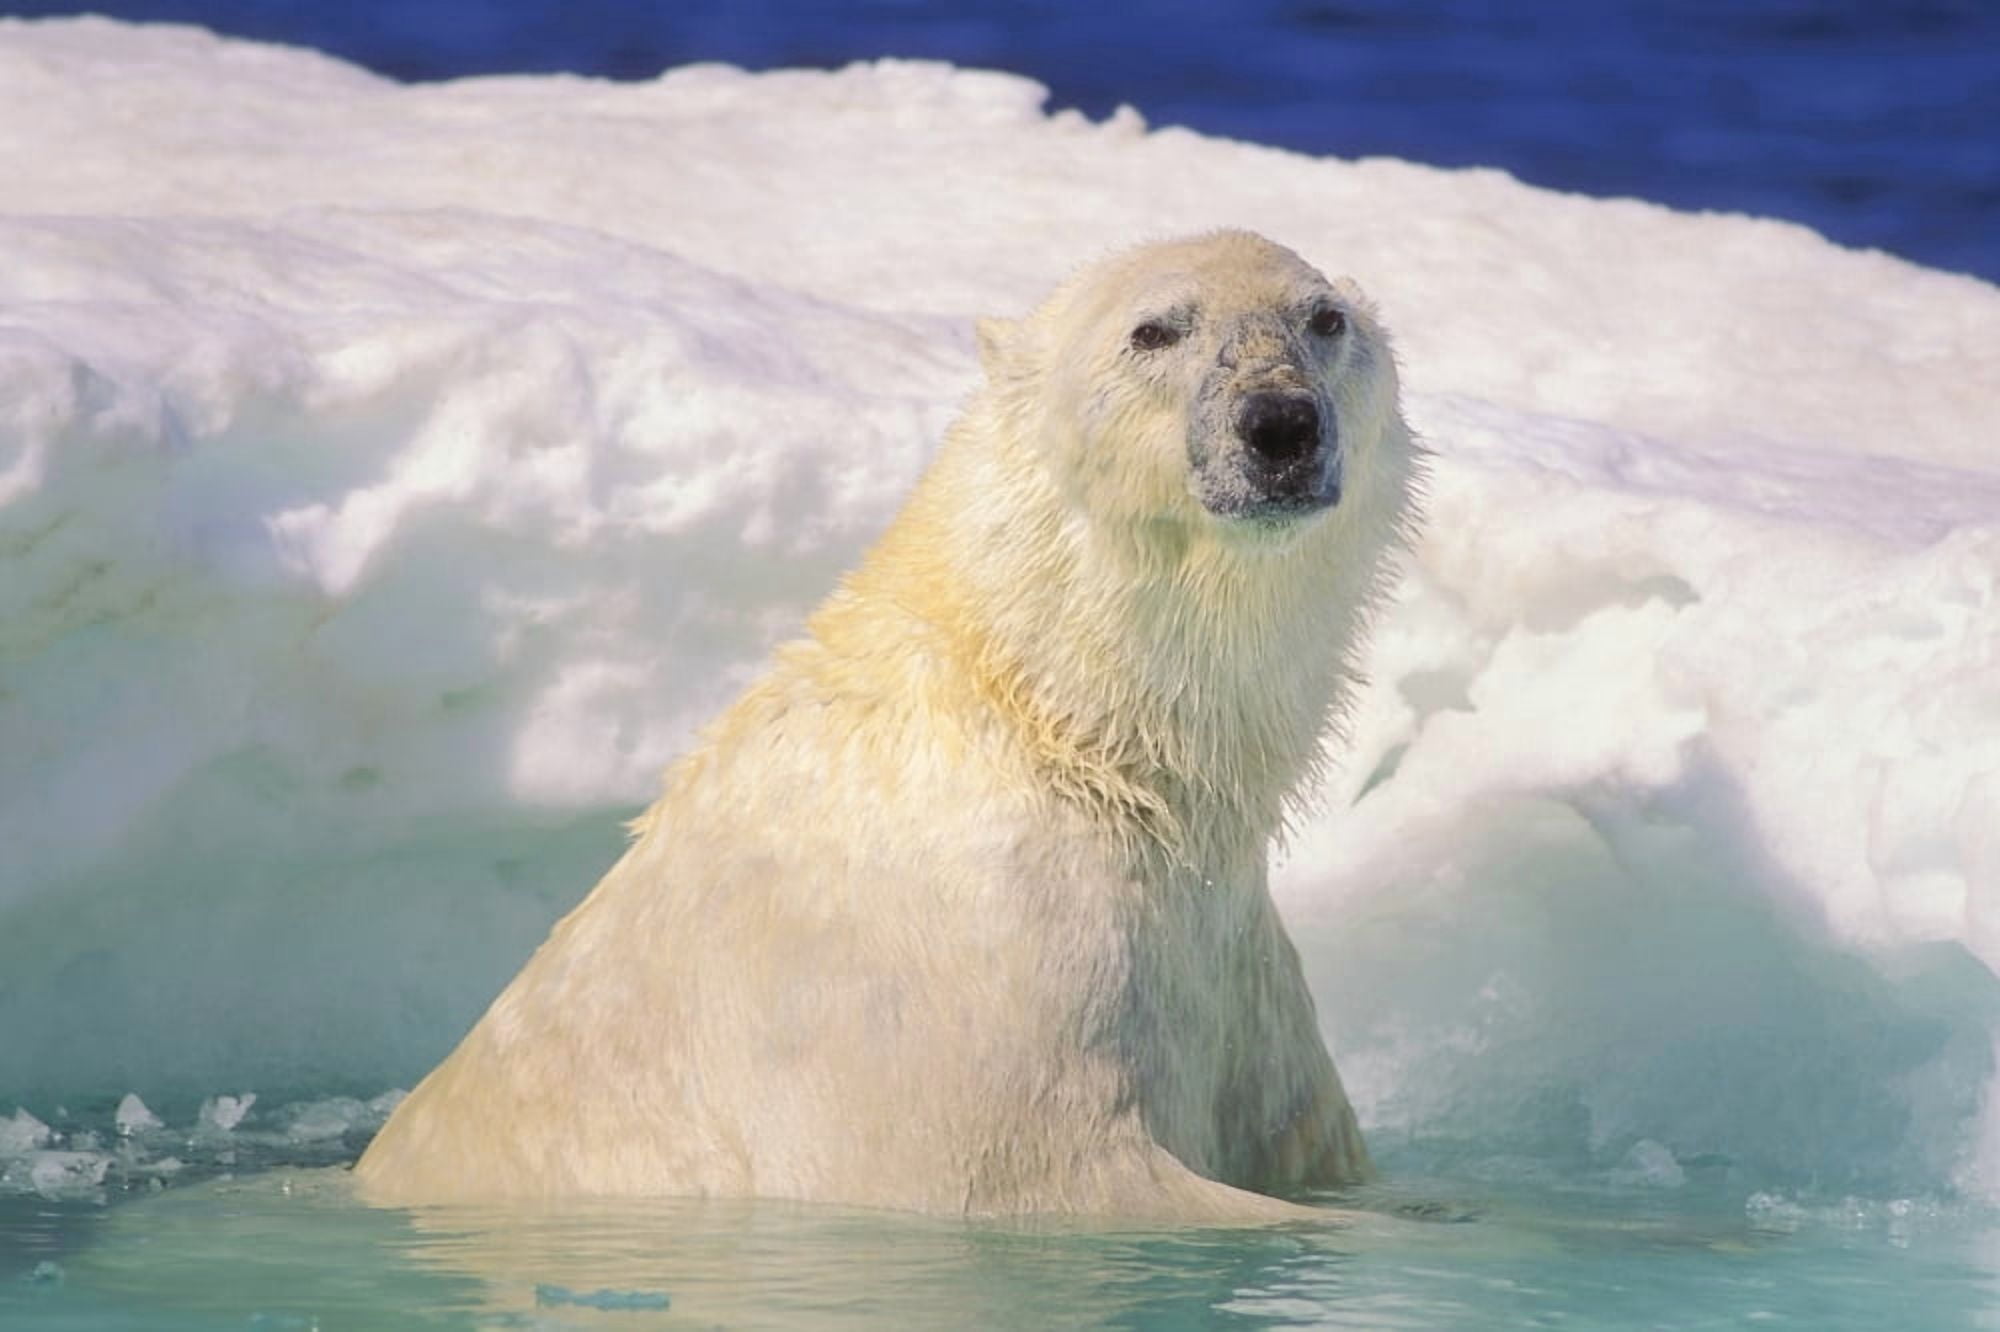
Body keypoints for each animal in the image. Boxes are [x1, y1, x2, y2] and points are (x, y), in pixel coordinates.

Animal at [355, 230, 1425, 1222]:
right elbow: (1037, 1170)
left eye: (1325, 318)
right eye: (1154, 328)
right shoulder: (965, 969)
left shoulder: (1233, 978)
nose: (1280, 424)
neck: (1064, 725)